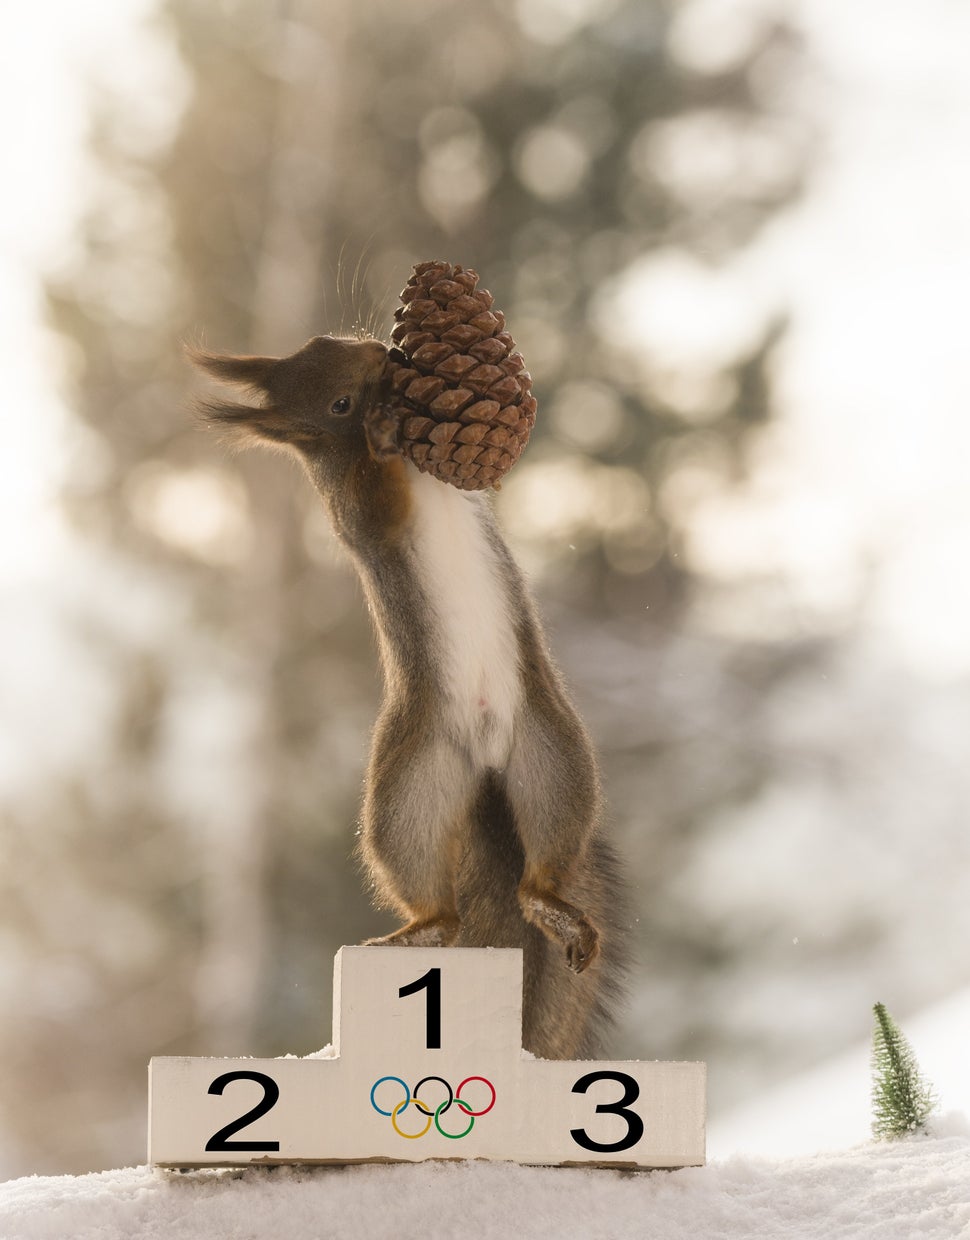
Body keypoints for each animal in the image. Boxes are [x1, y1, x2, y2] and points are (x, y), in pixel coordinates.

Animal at [193, 329, 627, 1056]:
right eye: (338, 404)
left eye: (327, 339)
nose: (378, 353)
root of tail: (485, 760)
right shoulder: (359, 518)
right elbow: (379, 503)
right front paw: (379, 430)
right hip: (409, 796)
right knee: (436, 901)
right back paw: (421, 930)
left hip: (553, 756)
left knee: (540, 866)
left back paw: (551, 908)